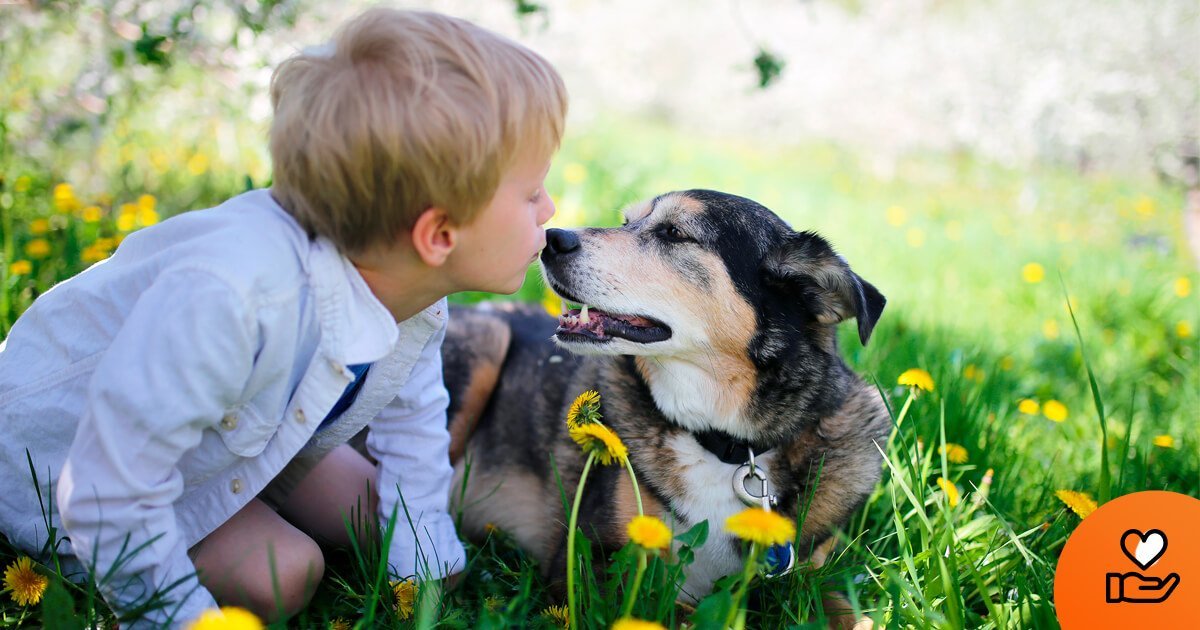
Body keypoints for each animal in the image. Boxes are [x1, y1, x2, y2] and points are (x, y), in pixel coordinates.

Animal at [444, 188, 892, 624]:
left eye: (674, 233)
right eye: (627, 221)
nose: (550, 238)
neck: (725, 446)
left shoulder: (807, 577)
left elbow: (859, 616)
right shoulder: (592, 566)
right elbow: (681, 617)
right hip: (486, 342)